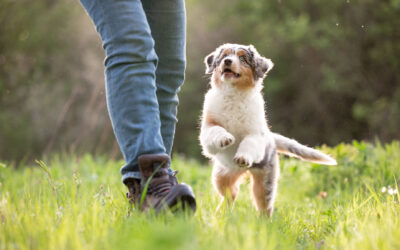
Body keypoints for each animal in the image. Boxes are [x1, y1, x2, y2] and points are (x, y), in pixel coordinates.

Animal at [198, 44, 336, 216]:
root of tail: (272, 138)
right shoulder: (208, 127)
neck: (233, 94)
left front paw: (242, 157)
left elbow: (248, 143)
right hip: (221, 175)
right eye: (224, 56)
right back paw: (221, 213)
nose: (228, 61)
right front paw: (225, 139)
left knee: (264, 205)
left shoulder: (256, 133)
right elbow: (216, 131)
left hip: (265, 180)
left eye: (242, 58)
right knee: (231, 193)